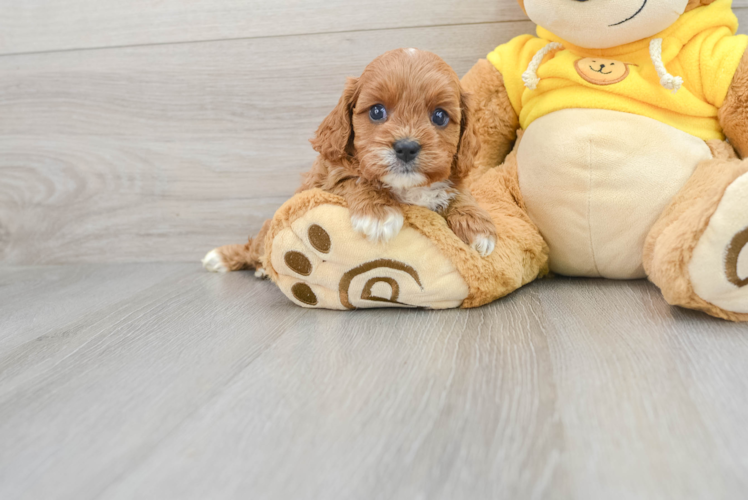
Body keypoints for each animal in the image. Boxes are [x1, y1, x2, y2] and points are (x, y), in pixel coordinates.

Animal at [203, 48, 496, 276]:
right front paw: (378, 214)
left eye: (439, 116)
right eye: (377, 111)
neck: (405, 188)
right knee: (255, 245)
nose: (406, 148)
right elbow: (355, 178)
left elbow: (460, 194)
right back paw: (227, 259)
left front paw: (479, 228)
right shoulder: (327, 180)